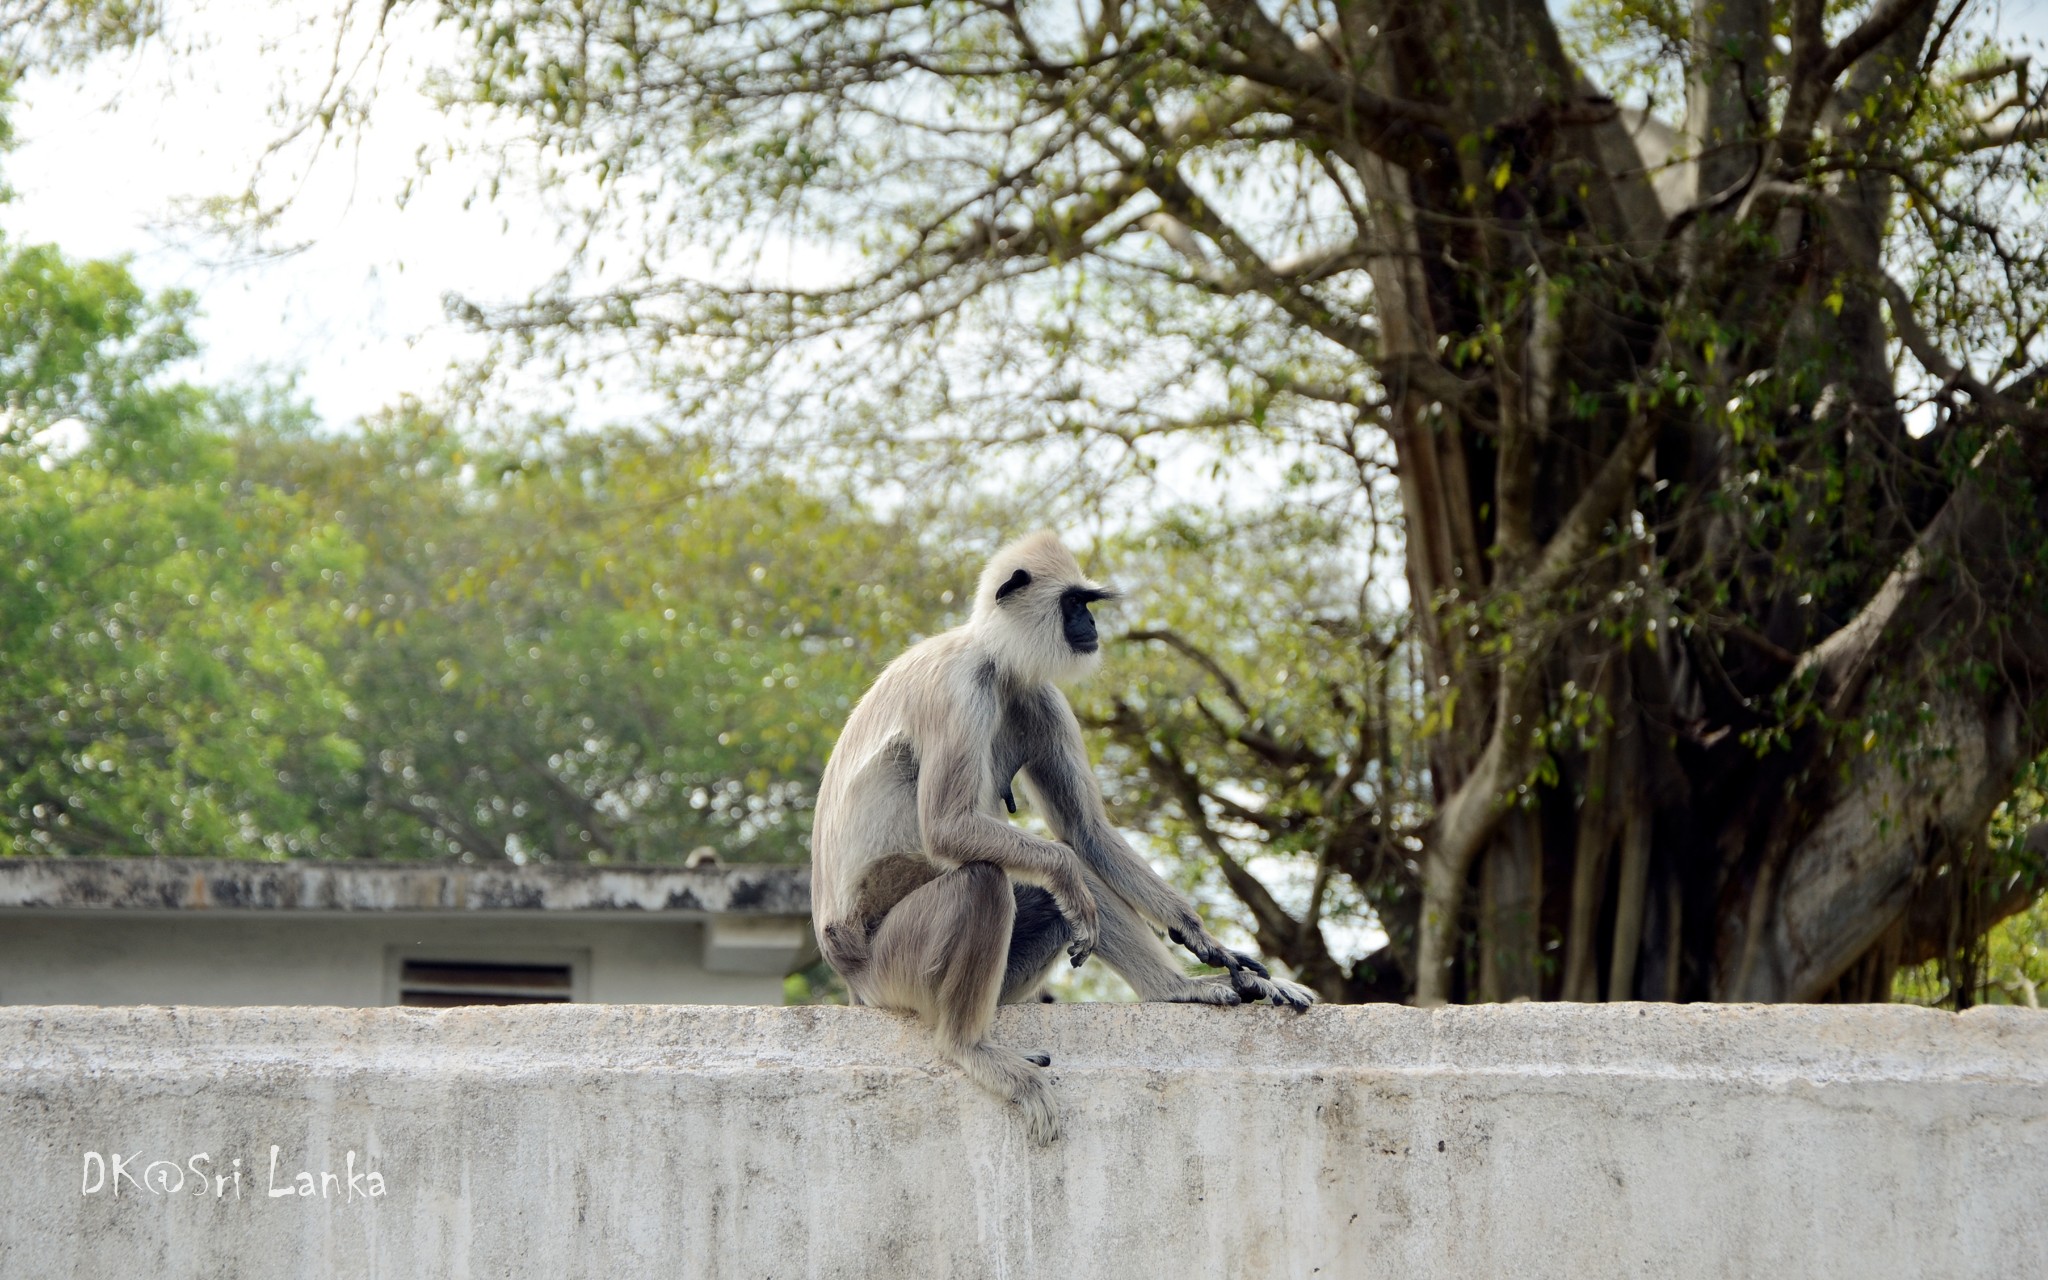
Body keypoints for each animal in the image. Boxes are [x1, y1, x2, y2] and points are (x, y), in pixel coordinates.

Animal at [806, 528, 1318, 1138]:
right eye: (1074, 603)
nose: (1091, 626)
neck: (996, 659)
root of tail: (849, 977)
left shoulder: (1039, 694)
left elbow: (1084, 831)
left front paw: (1206, 942)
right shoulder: (959, 685)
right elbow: (954, 829)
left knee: (1063, 892)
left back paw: (1174, 990)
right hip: (891, 971)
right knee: (987, 879)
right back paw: (969, 1047)